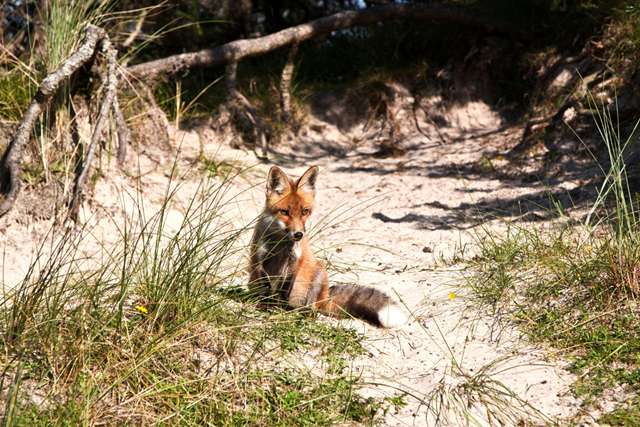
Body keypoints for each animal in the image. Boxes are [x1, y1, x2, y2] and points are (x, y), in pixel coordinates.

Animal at [249, 166, 404, 330]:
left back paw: (299, 311)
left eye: (305, 212)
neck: (280, 244)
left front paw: (281, 308)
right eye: (284, 212)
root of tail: (325, 298)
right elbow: (266, 286)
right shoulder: (259, 258)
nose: (298, 234)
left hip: (318, 273)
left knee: (311, 309)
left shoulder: (295, 261)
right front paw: (266, 305)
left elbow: (285, 288)